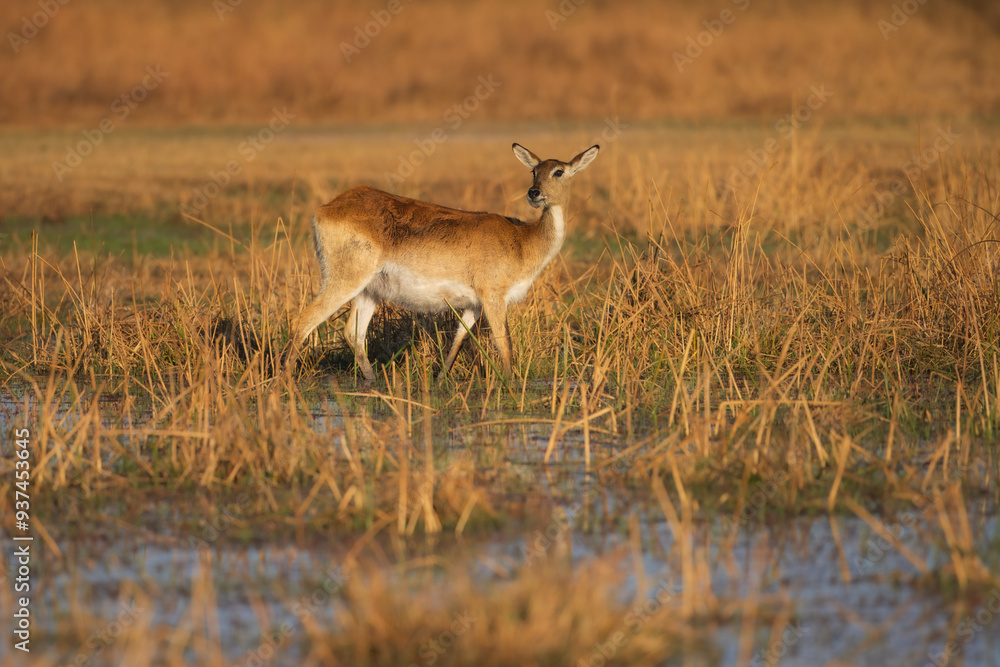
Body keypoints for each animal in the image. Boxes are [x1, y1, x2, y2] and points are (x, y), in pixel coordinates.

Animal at [291, 142, 599, 383]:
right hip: (343, 280)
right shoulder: (494, 297)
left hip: (369, 290)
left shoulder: (474, 304)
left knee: (352, 332)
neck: (522, 240)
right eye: (534, 171)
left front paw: (440, 380)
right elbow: (505, 344)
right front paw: (511, 387)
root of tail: (325, 208)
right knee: (303, 321)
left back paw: (373, 381)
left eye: (559, 171)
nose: (534, 193)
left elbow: (458, 340)